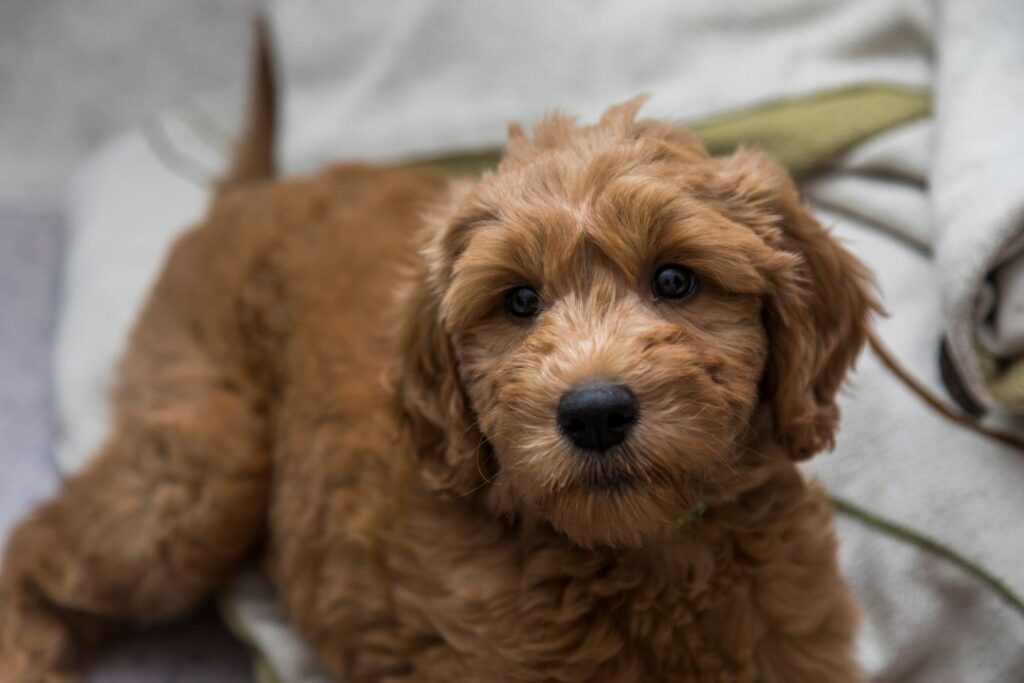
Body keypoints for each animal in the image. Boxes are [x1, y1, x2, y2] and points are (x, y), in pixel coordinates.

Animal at [2, 98, 880, 679]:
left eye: (675, 280)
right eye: (518, 301)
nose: (595, 412)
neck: (639, 557)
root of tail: (251, 193)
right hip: (203, 470)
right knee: (42, 543)